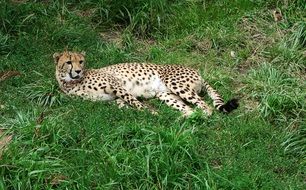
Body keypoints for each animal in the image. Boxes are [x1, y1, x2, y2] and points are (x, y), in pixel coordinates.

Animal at [53, 49, 239, 116]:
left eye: (81, 61)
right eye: (69, 62)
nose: (78, 71)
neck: (71, 82)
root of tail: (197, 72)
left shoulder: (117, 85)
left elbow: (135, 102)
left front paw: (151, 113)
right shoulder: (112, 99)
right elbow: (124, 105)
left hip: (175, 83)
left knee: (206, 107)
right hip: (166, 95)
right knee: (190, 109)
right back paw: (179, 120)